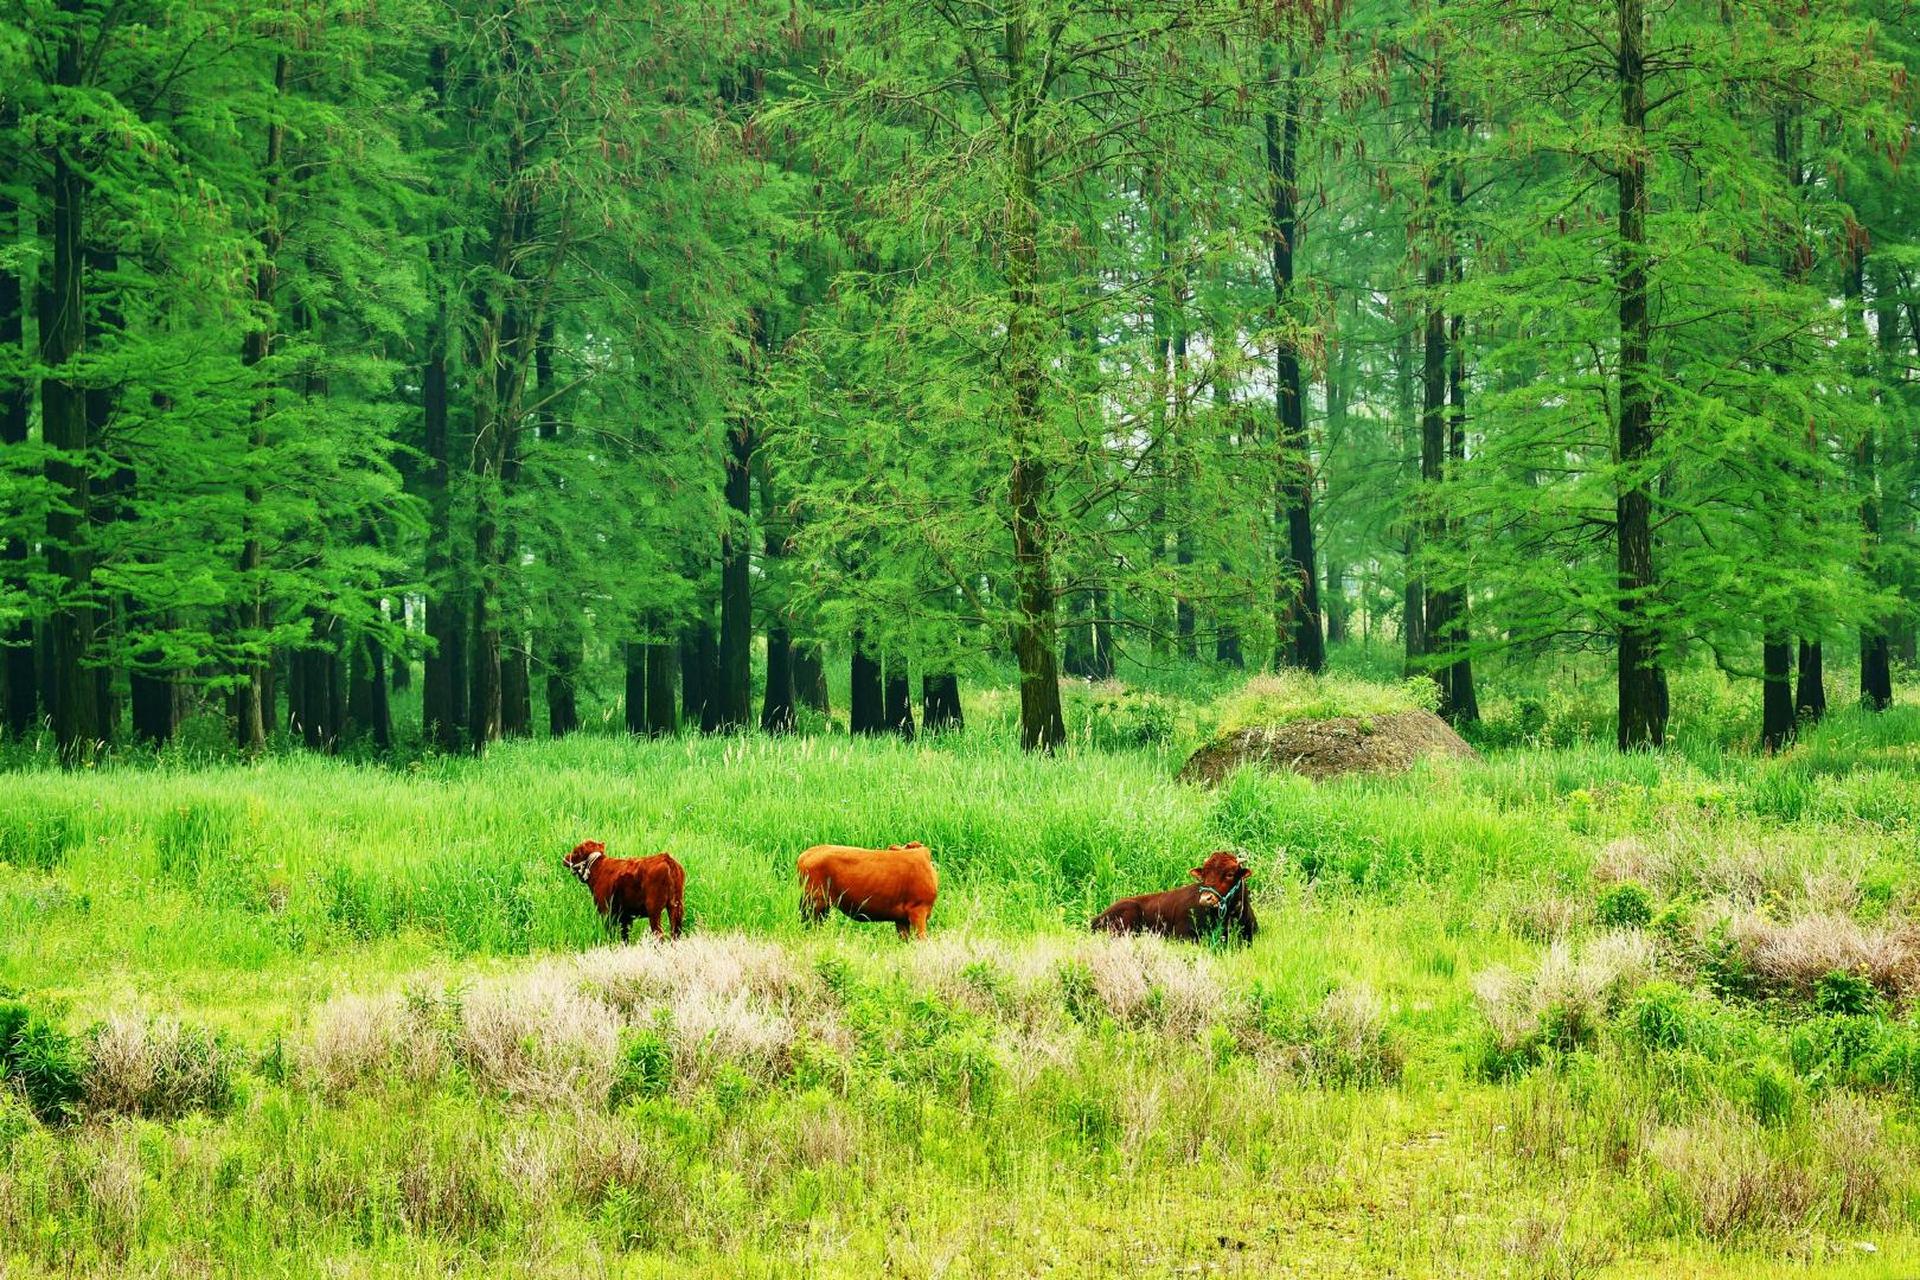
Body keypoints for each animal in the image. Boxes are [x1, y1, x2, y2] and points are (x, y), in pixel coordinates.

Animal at [560, 840, 691, 940]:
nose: (565, 858)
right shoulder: (625, 917)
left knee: (659, 935)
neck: (598, 869)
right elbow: (625, 937)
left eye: (575, 851)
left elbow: (611, 934)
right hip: (677, 906)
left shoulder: (606, 911)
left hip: (654, 909)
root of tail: (667, 859)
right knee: (675, 933)